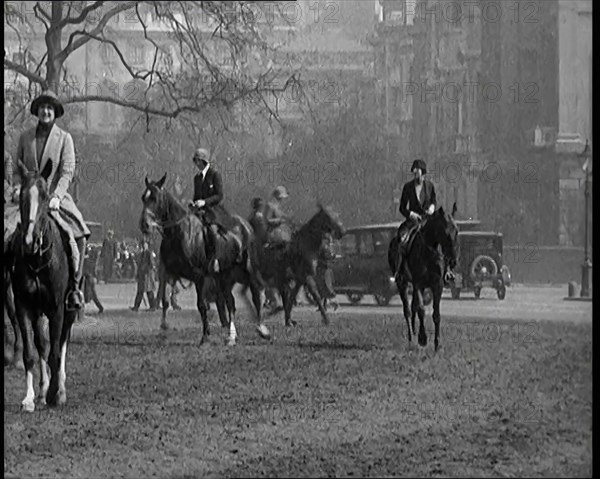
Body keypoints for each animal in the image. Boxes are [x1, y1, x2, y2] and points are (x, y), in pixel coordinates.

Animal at [10, 160, 79, 412]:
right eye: (21, 196)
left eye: (45, 195)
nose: (29, 241)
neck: (38, 260)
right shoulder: (24, 306)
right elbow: (32, 352)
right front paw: (30, 398)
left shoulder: (57, 308)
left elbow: (56, 352)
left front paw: (55, 394)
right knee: (42, 344)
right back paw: (42, 390)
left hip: (69, 309)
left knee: (63, 341)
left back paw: (59, 387)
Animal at [138, 174, 270, 346]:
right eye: (143, 198)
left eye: (155, 198)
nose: (144, 225)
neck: (178, 234)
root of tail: (246, 226)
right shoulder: (167, 273)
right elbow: (165, 301)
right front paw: (163, 329)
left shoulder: (198, 276)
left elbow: (201, 305)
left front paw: (205, 336)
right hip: (224, 277)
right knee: (230, 302)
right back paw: (231, 337)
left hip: (248, 270)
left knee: (256, 295)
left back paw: (262, 329)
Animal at [386, 203, 458, 352]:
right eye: (446, 233)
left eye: (457, 232)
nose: (453, 261)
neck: (430, 252)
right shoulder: (418, 283)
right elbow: (421, 309)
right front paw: (423, 338)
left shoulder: (437, 285)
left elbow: (436, 314)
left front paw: (437, 343)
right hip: (402, 283)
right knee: (407, 310)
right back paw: (411, 337)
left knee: (412, 307)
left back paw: (415, 332)